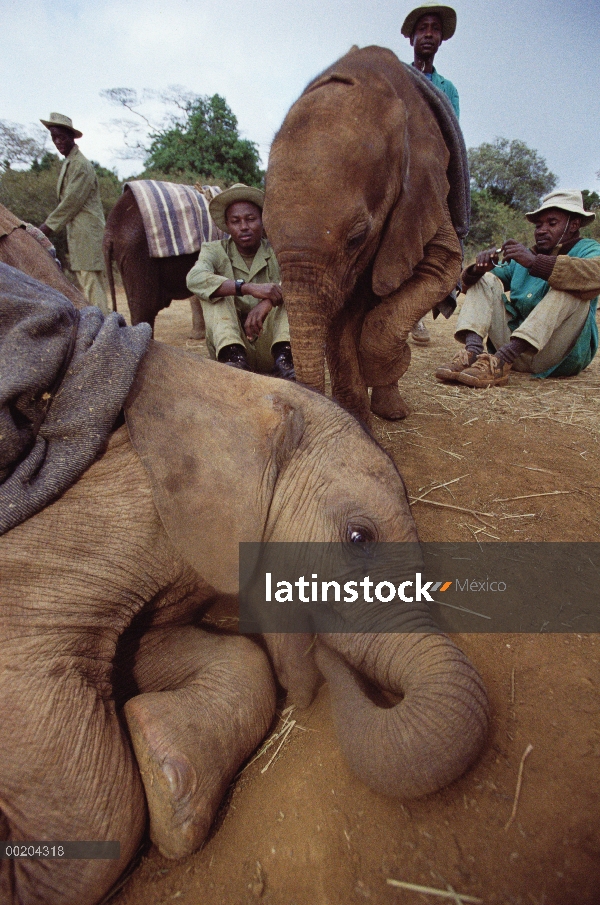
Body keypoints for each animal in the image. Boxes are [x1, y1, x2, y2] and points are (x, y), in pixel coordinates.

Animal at [0, 270, 488, 904]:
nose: (329, 664)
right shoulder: (98, 520)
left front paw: (167, 777)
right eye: (359, 538)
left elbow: (185, 654)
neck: (242, 394)